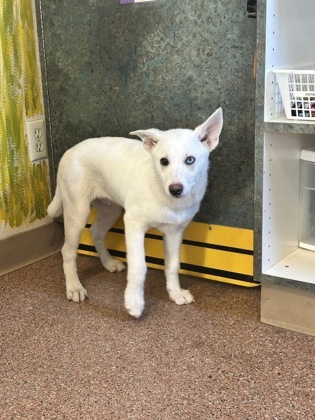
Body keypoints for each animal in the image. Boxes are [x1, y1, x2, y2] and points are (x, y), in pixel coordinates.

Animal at [48, 108, 223, 318]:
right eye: (163, 161)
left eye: (190, 160)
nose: (175, 189)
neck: (163, 193)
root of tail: (69, 151)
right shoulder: (134, 224)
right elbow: (139, 266)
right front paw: (134, 302)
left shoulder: (174, 232)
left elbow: (173, 265)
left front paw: (176, 293)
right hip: (77, 211)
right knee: (68, 250)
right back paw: (74, 287)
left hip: (110, 209)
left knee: (95, 232)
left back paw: (108, 263)